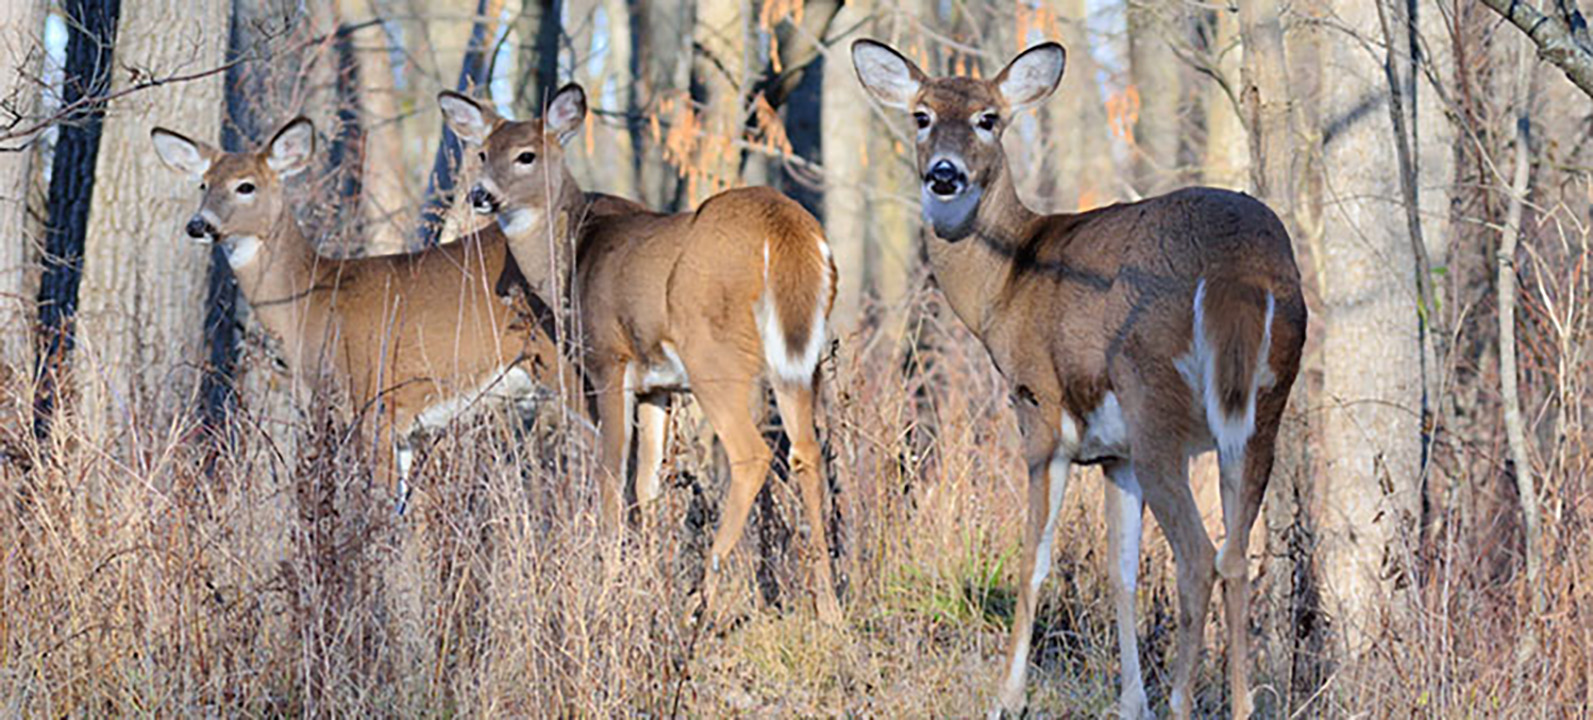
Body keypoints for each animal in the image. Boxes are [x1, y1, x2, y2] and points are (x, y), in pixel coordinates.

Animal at [151, 117, 577, 511]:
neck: (311, 300)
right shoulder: (403, 427)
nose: (198, 224)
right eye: (203, 184)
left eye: (246, 186)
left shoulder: (374, 401)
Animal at [435, 85, 842, 624]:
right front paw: (647, 583)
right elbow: (647, 486)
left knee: (752, 454)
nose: (480, 194)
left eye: (527, 155)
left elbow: (612, 477)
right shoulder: (658, 386)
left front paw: (608, 590)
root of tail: (787, 231)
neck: (573, 257)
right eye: (482, 153)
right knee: (807, 453)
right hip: (800, 361)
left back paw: (702, 600)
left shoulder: (610, 362)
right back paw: (830, 606)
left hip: (713, 356)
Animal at [852, 40, 1306, 718]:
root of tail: (1241, 269)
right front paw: (1131, 701)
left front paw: (1007, 697)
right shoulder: (1115, 454)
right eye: (921, 115)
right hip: (1263, 413)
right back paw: (1240, 703)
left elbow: (1033, 556)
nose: (944, 174)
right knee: (1235, 555)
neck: (1004, 283)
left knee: (1198, 556)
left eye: (989, 118)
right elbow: (1123, 571)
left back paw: (1181, 701)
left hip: (1156, 402)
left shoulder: (1040, 408)